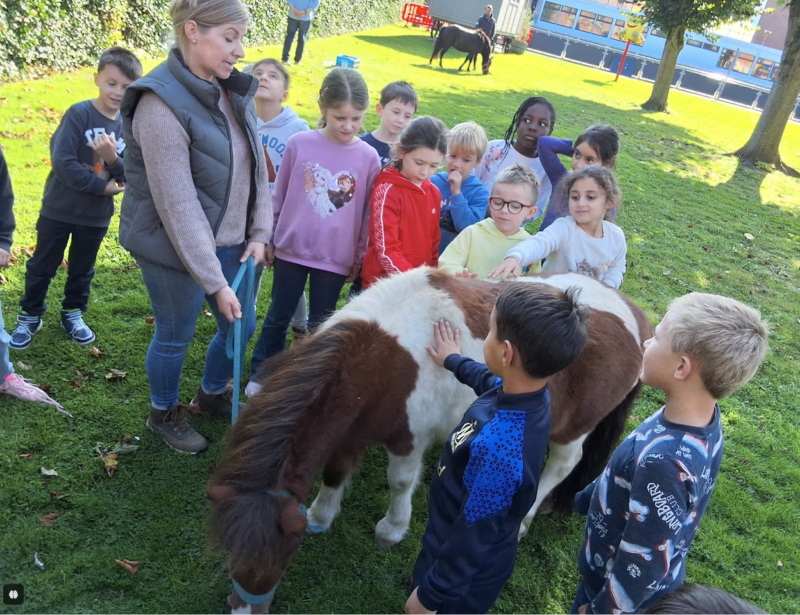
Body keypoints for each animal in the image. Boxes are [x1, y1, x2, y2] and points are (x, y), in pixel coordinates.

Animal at [205, 270, 648, 612]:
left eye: (284, 558)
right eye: (230, 555)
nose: (243, 610)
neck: (379, 360)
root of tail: (635, 317)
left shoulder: (407, 439)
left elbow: (400, 481)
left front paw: (391, 529)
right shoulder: (350, 430)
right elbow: (334, 472)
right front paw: (321, 514)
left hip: (573, 431)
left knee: (561, 466)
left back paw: (524, 519)